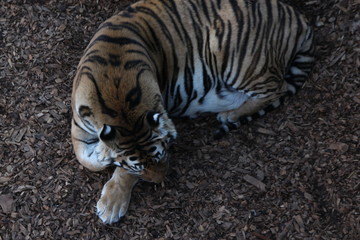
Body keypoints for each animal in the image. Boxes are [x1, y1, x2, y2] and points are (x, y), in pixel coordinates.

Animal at [69, 0, 312, 223]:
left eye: (162, 154)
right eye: (140, 167)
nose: (160, 181)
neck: (119, 99)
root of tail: (298, 17)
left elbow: (118, 171)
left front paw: (111, 203)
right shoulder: (78, 125)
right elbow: (86, 160)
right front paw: (101, 154)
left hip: (237, 60)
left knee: (278, 87)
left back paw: (229, 115)